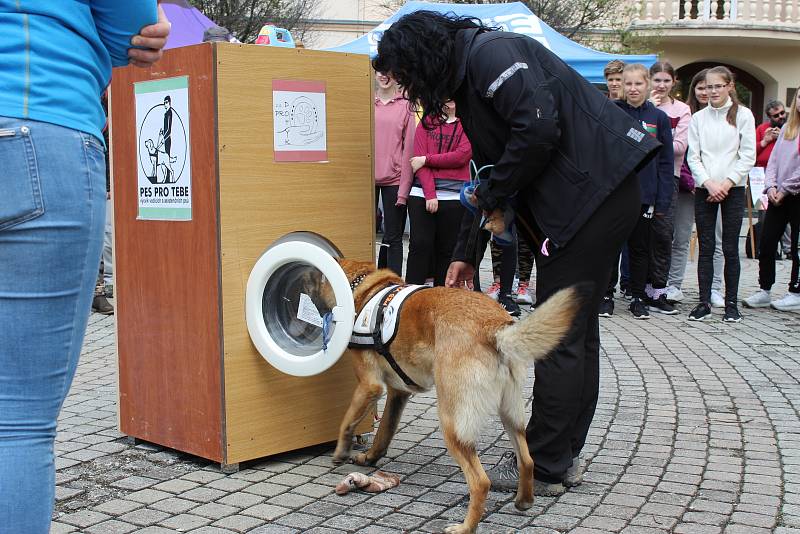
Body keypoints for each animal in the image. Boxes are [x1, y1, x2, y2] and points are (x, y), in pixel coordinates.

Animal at [322, 260, 580, 534]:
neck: (367, 289)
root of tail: (493, 326)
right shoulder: (398, 393)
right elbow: (384, 433)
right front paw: (369, 457)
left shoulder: (370, 386)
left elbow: (347, 421)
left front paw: (340, 451)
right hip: (511, 415)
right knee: (528, 460)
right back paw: (524, 500)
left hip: (452, 423)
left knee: (480, 482)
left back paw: (465, 527)